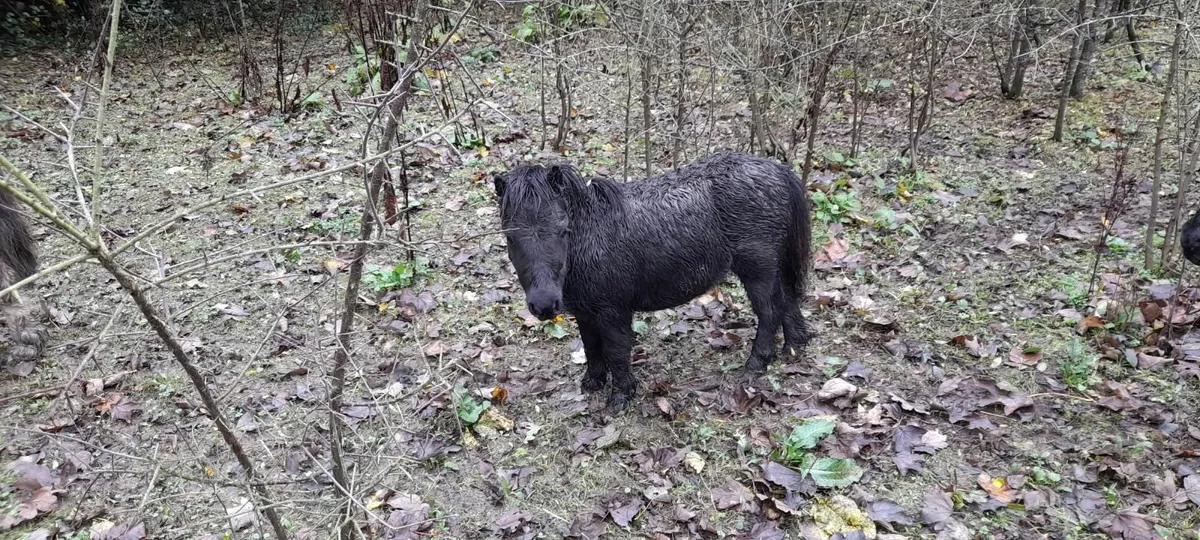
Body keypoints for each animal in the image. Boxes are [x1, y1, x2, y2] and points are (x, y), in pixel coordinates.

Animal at [493, 151, 812, 410]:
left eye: (562, 230)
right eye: (510, 237)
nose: (544, 305)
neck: (587, 237)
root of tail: (778, 169)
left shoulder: (613, 312)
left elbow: (617, 351)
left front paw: (620, 396)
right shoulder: (585, 312)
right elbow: (591, 347)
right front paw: (593, 382)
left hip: (758, 268)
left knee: (770, 311)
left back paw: (757, 362)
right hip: (773, 266)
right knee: (787, 302)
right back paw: (795, 346)